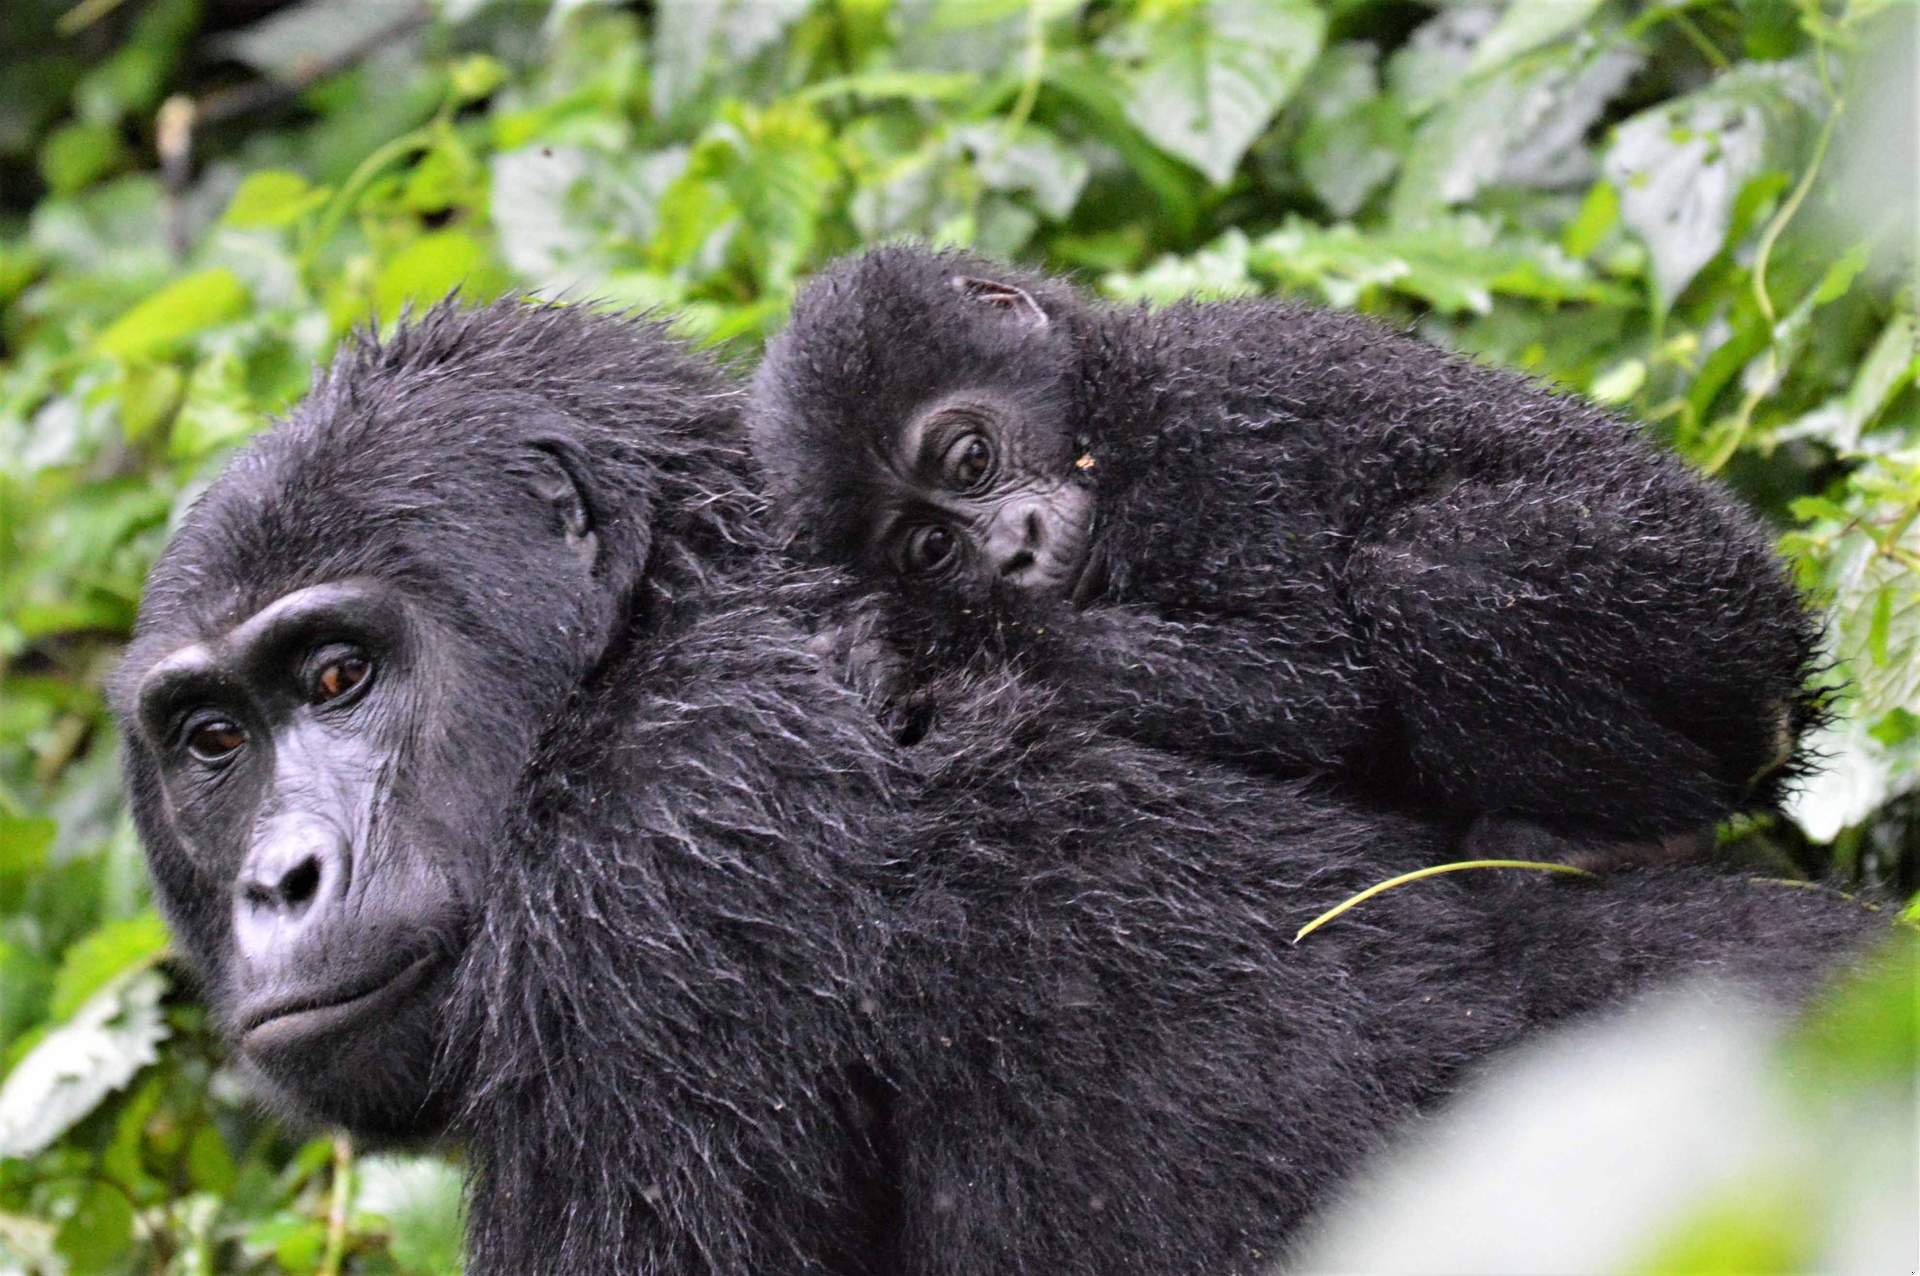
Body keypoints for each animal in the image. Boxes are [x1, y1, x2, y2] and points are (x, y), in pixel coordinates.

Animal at [748, 243, 1812, 851]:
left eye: (970, 458)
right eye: (931, 546)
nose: (1012, 549)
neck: (1106, 406)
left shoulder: (1212, 431)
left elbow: (1317, 684)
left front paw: (920, 638)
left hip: (1705, 606)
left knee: (1437, 572)